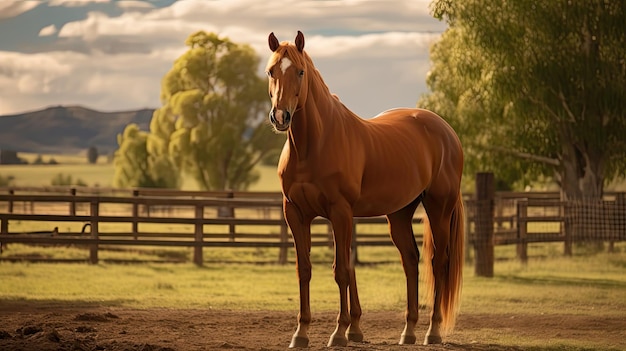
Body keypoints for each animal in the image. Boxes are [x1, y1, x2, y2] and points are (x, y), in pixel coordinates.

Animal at [264, 31, 464, 350]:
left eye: (300, 71)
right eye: (271, 71)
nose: (281, 117)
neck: (315, 145)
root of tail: (447, 131)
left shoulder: (340, 213)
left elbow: (341, 270)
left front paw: (340, 332)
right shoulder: (295, 213)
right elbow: (305, 269)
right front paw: (302, 333)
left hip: (439, 209)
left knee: (438, 262)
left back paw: (432, 331)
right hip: (399, 214)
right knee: (410, 261)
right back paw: (408, 331)